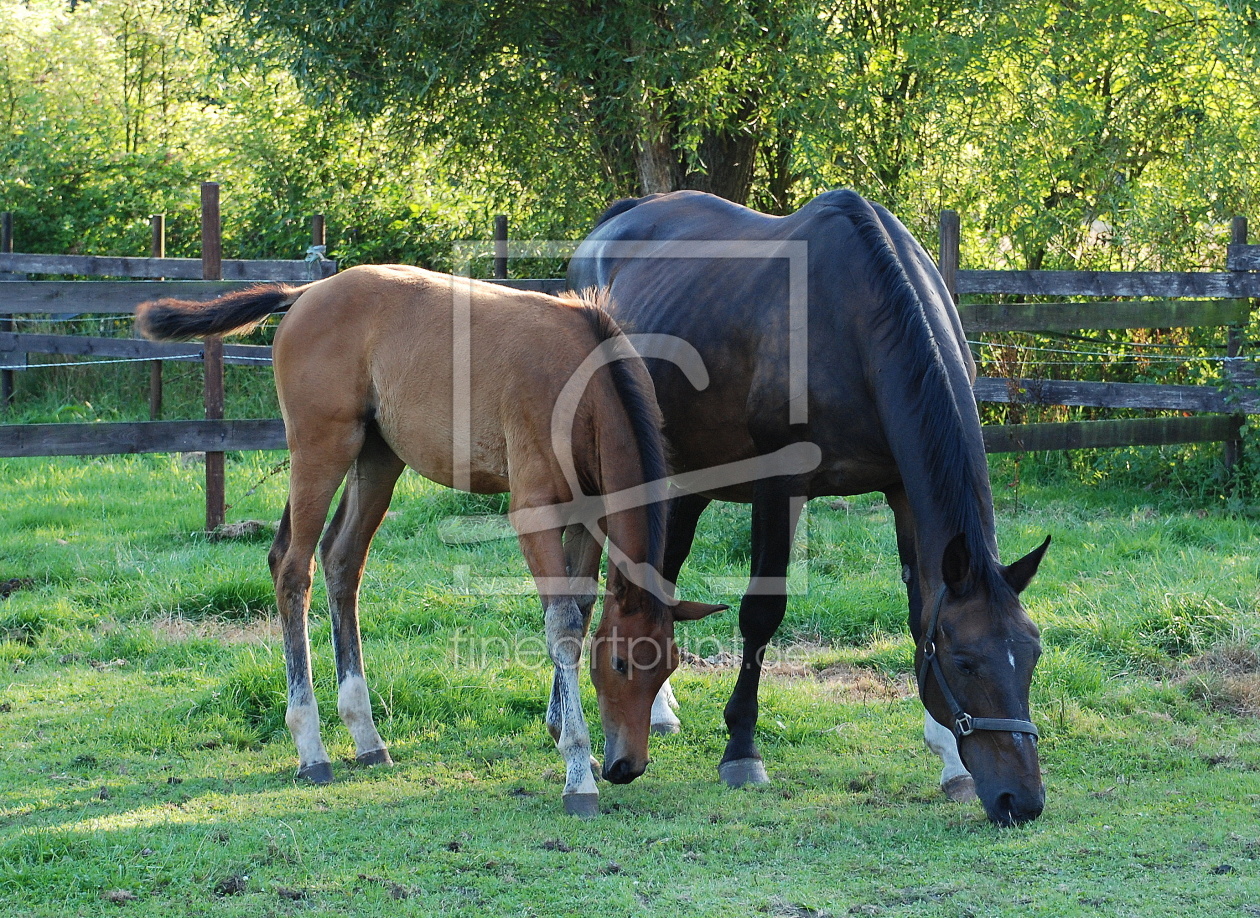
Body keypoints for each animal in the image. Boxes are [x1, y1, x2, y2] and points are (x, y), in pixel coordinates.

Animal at [135, 266, 730, 816]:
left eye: (669, 668)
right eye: (623, 663)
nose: (627, 766)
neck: (583, 387)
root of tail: (307, 292)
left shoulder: (587, 513)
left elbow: (579, 613)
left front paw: (561, 728)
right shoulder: (534, 511)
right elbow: (561, 623)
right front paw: (578, 771)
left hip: (377, 457)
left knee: (341, 561)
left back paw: (366, 737)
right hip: (321, 448)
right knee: (292, 567)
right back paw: (312, 747)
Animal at [572, 187, 1053, 826]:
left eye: (1032, 655)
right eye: (967, 662)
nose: (1021, 800)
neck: (855, 320)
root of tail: (616, 221)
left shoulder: (904, 490)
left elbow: (920, 609)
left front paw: (951, 761)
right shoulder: (780, 484)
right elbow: (761, 612)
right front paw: (741, 751)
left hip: (689, 475)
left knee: (661, 575)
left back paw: (658, 711)